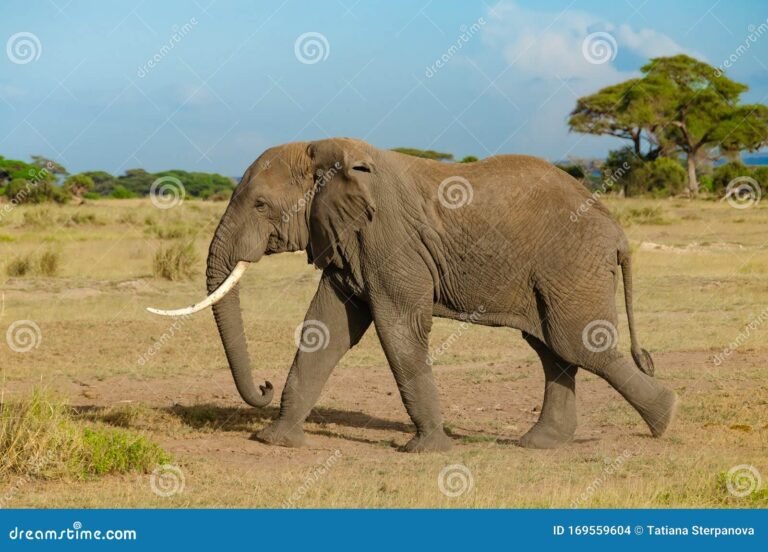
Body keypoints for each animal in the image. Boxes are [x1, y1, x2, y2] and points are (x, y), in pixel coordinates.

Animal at [149, 137, 678, 452]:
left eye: (260, 205)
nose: (261, 386)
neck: (324, 149)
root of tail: (618, 231)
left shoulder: (389, 240)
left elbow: (398, 328)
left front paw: (425, 451)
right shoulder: (348, 242)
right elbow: (326, 332)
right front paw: (274, 441)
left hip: (571, 263)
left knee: (577, 344)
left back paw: (664, 419)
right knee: (552, 348)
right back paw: (538, 444)